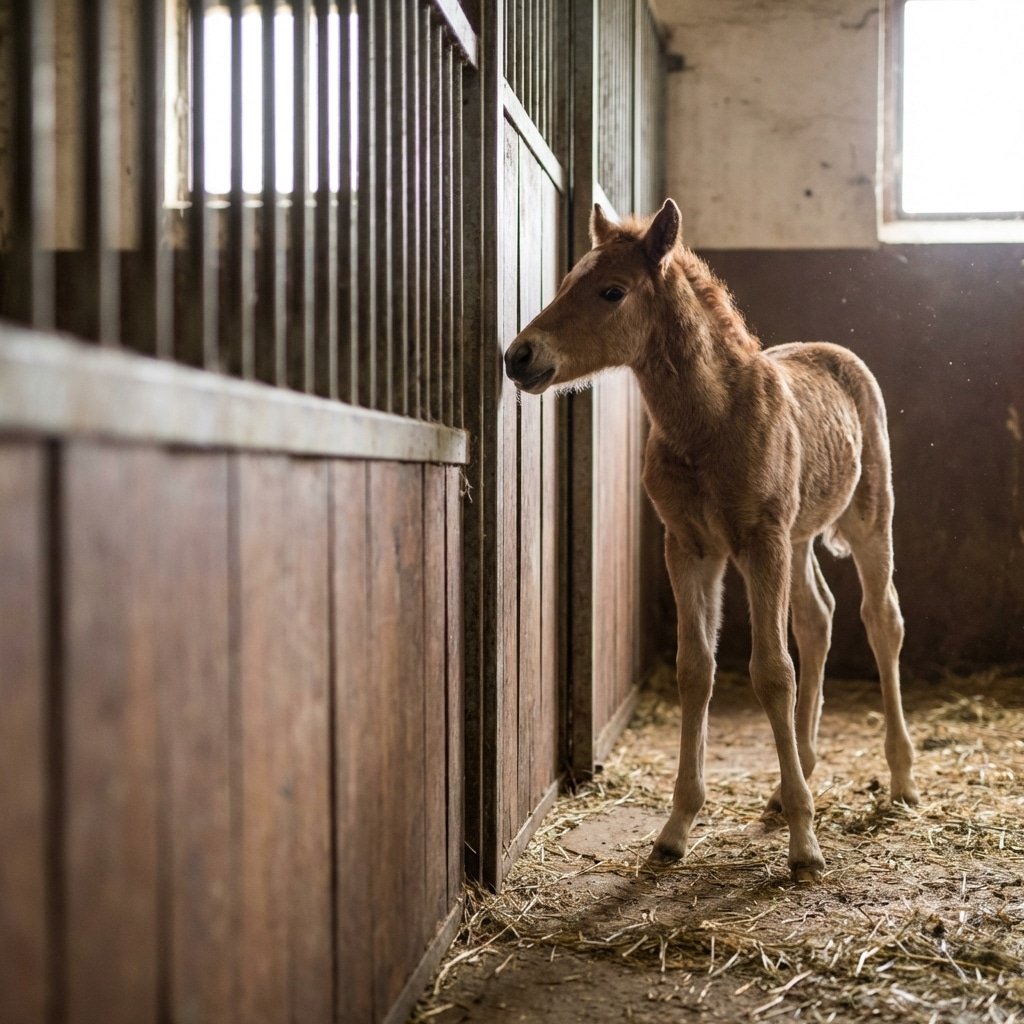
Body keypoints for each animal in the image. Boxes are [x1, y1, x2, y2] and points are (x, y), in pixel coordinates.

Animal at [503, 199, 919, 883]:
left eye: (611, 291)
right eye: (567, 282)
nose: (519, 356)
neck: (710, 421)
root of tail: (836, 353)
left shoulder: (760, 541)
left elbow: (773, 672)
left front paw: (805, 845)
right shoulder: (690, 547)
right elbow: (696, 668)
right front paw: (676, 829)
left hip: (867, 516)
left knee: (880, 618)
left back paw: (902, 779)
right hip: (798, 538)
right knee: (818, 619)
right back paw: (792, 780)